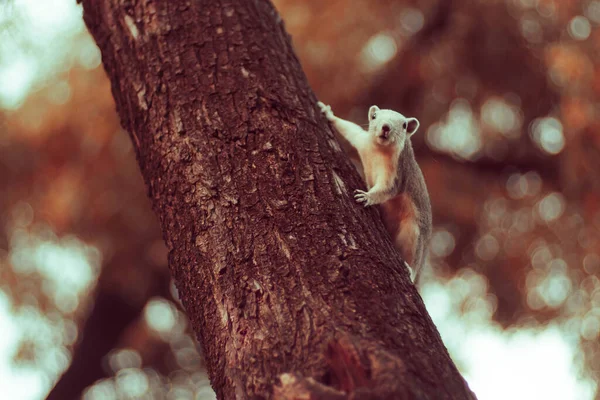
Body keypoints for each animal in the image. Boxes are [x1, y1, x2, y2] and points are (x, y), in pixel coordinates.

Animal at [318, 101, 432, 282]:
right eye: (374, 116)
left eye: (404, 125)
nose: (386, 127)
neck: (379, 150)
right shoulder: (363, 141)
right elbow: (351, 129)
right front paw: (328, 113)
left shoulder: (397, 172)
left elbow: (387, 189)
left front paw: (367, 196)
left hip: (414, 231)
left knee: (414, 253)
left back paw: (410, 271)